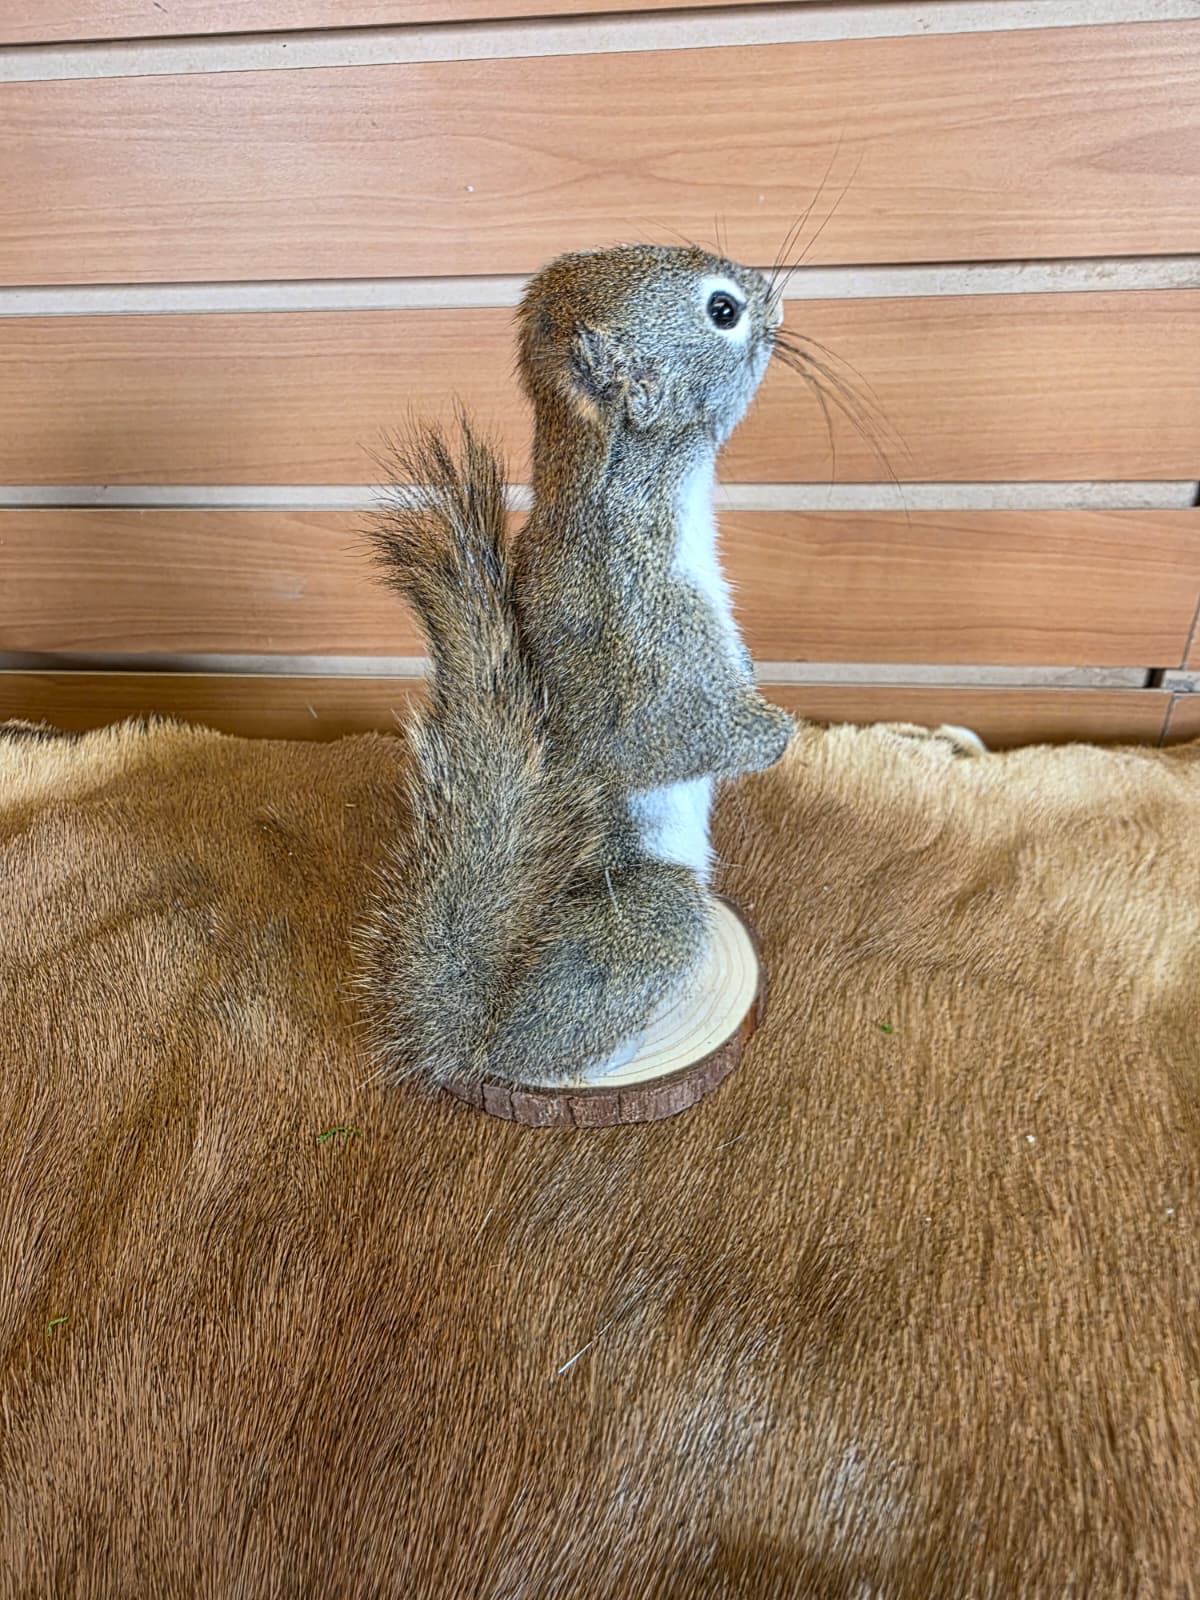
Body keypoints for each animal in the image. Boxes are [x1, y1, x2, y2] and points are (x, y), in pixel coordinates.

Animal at [362, 244, 793, 1090]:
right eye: (722, 311)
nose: (776, 299)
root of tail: (476, 1026)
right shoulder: (637, 626)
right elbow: (660, 738)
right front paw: (775, 734)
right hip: (652, 915)